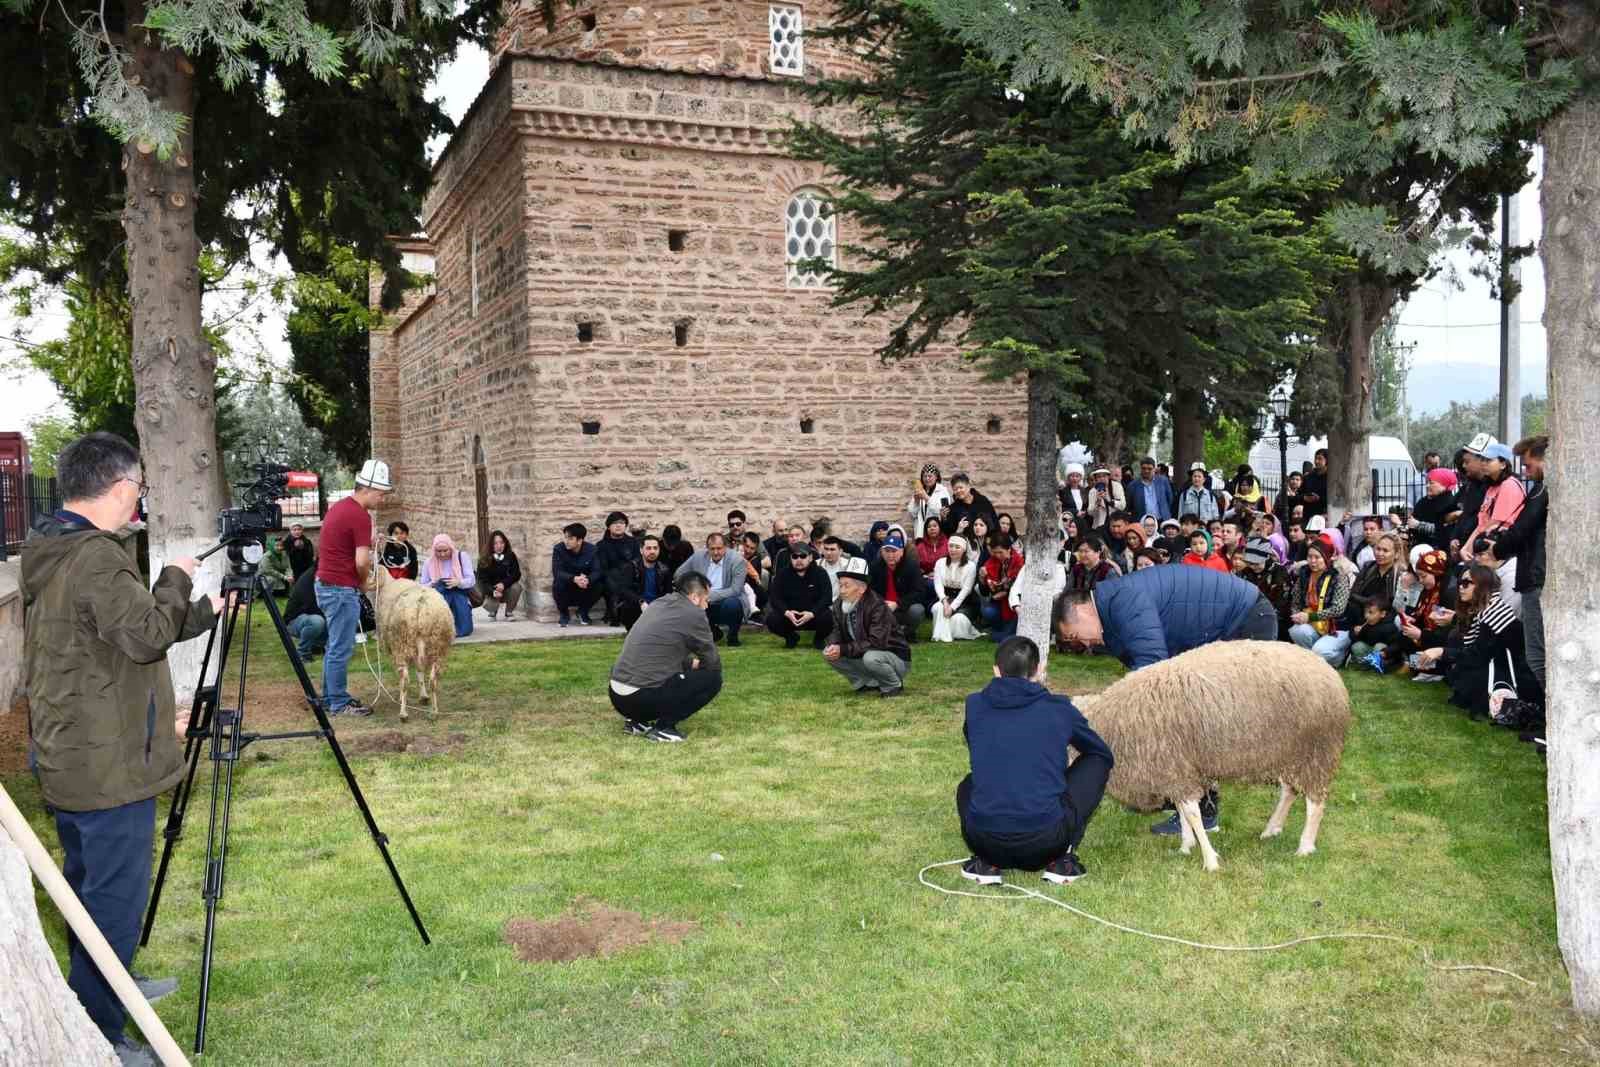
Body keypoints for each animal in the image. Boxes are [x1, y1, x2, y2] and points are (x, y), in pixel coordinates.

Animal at [369, 563, 457, 723]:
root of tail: (420, 605)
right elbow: (420, 671)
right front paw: (424, 696)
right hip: (437, 646)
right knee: (433, 680)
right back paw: (434, 712)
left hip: (402, 644)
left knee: (405, 680)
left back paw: (403, 713)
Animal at [1075, 639, 1350, 870]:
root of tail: (1329, 671)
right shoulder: (1177, 769)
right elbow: (1183, 810)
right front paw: (1186, 845)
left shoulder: (1175, 766)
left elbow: (1192, 813)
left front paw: (1209, 860)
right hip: (1288, 753)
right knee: (1289, 790)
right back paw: (1271, 829)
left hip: (1317, 751)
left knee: (1315, 803)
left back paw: (1305, 846)